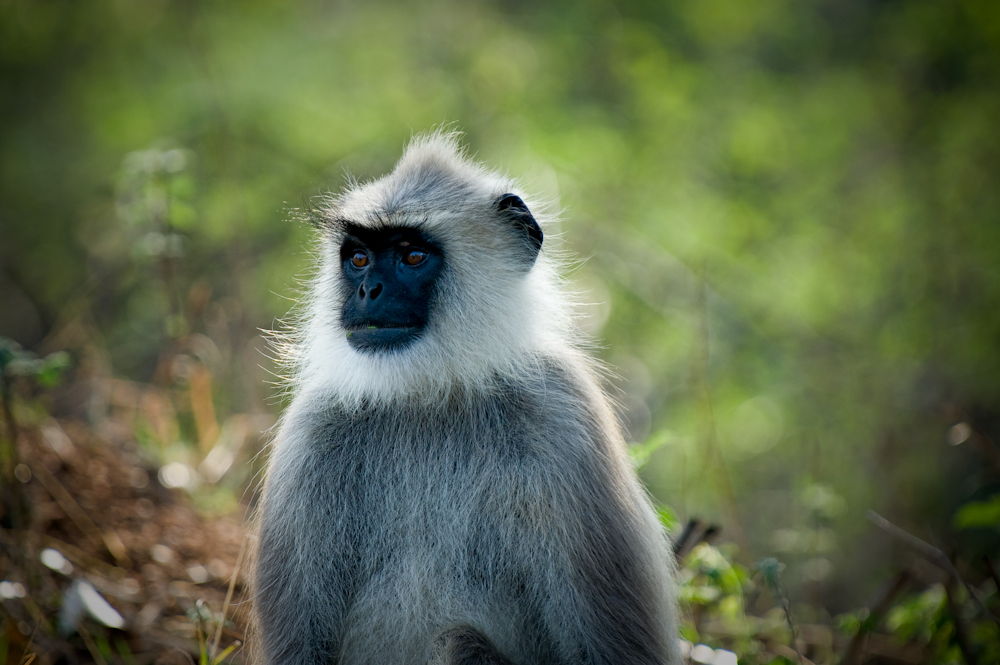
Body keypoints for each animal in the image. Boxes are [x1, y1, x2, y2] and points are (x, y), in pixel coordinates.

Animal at [254, 131, 684, 664]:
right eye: (359, 259)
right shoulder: (313, 427)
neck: (432, 394)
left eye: (412, 256)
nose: (369, 290)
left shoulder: (564, 406)